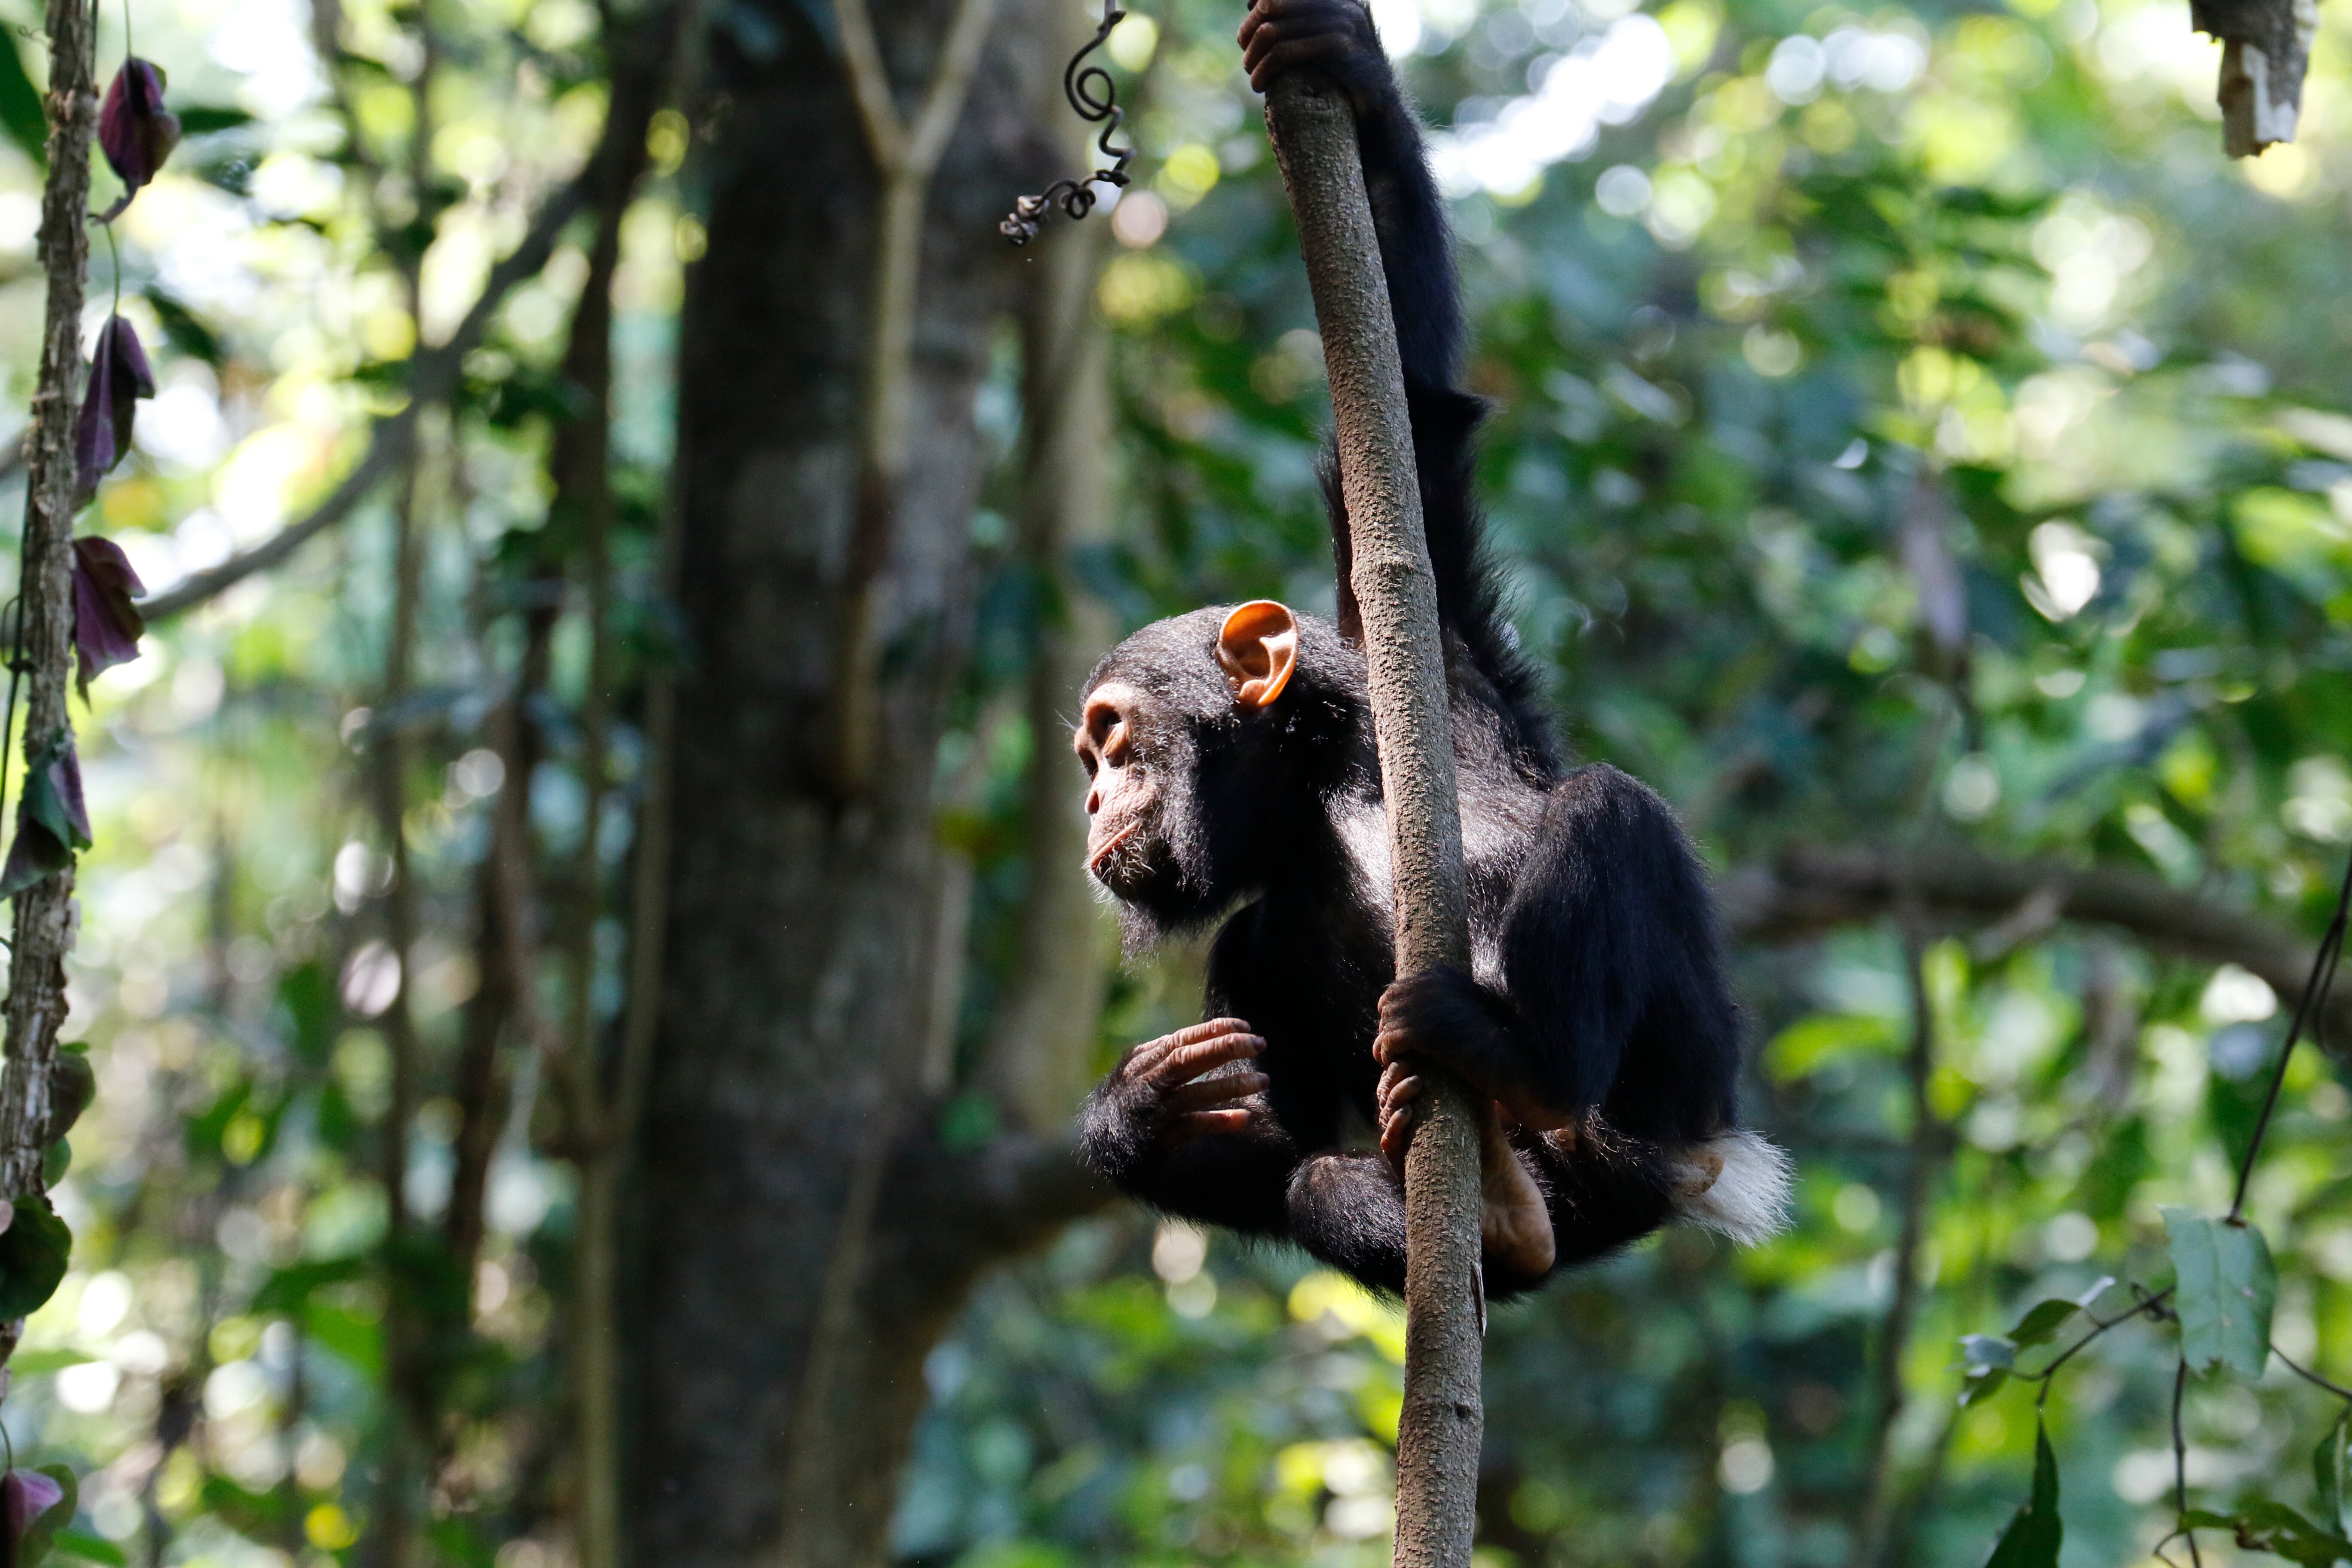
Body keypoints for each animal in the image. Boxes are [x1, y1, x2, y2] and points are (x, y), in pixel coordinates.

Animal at [1071, 0, 1790, 1299]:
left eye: (1111, 736)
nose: (1091, 800)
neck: (1317, 798)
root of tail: (1710, 1171)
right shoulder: (1251, 953)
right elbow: (1274, 1141)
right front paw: (1133, 1118)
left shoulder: (1441, 668)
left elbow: (1410, 404)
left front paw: (1341, 67)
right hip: (1590, 1196)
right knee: (1337, 1190)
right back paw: (1503, 1215)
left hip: (1683, 1092)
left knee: (1610, 807)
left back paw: (1517, 1059)